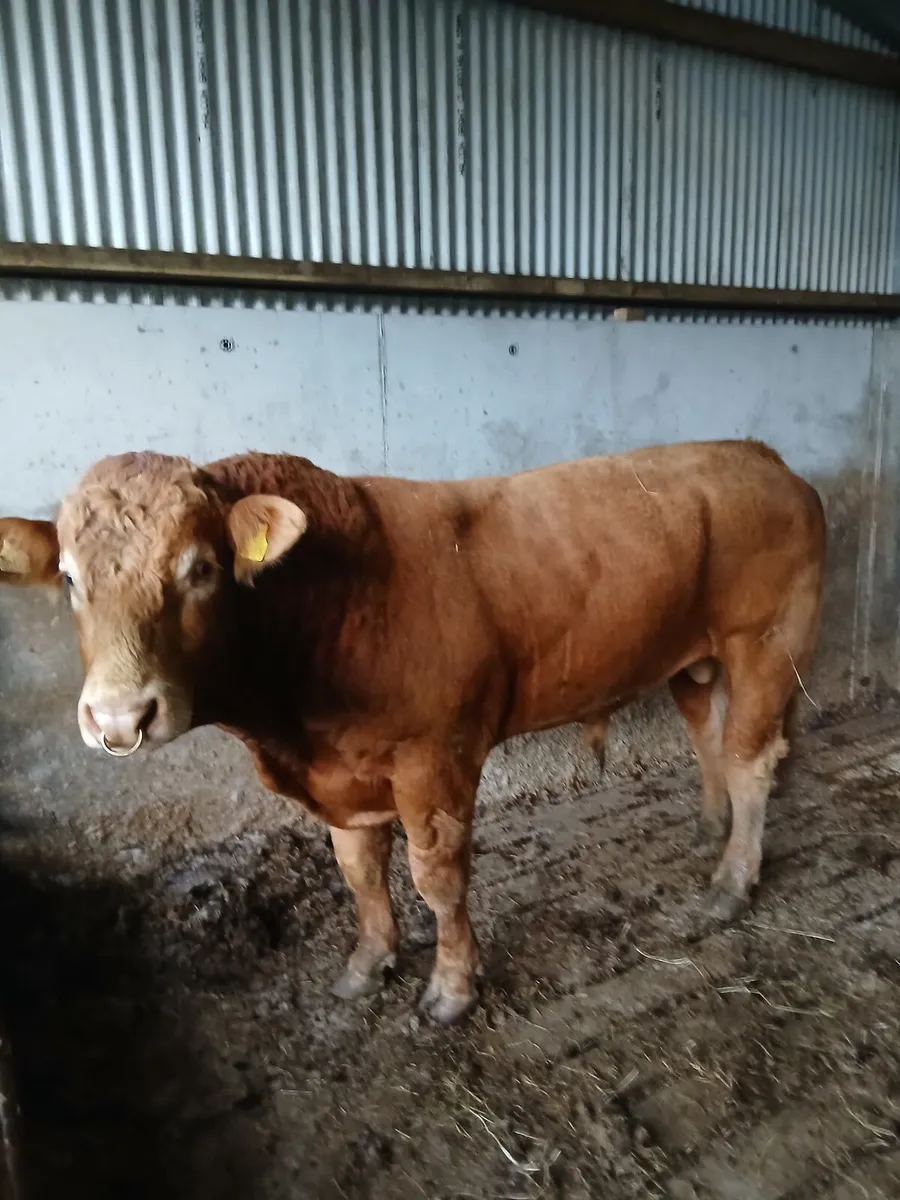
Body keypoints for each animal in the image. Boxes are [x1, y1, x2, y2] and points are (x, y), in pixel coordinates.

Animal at [0, 439, 825, 1024]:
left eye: (200, 569)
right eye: (69, 578)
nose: (119, 717)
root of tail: (760, 455)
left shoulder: (438, 757)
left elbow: (438, 877)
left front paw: (453, 988)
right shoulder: (343, 775)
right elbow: (361, 872)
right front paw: (368, 963)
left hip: (765, 641)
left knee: (752, 757)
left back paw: (732, 879)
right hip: (693, 656)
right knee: (705, 731)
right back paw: (711, 826)